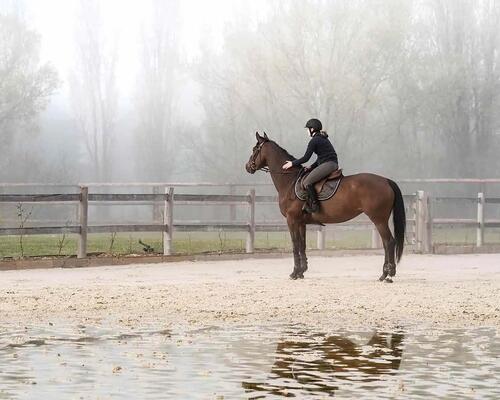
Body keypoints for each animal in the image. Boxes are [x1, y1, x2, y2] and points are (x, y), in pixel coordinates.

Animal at [244, 131, 404, 282]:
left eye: (254, 149)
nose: (247, 166)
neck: (289, 181)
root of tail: (386, 180)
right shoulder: (301, 222)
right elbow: (302, 245)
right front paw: (302, 271)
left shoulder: (292, 220)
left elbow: (295, 245)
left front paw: (294, 273)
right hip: (380, 220)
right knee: (386, 243)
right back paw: (385, 274)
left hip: (379, 219)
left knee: (389, 242)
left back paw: (388, 274)